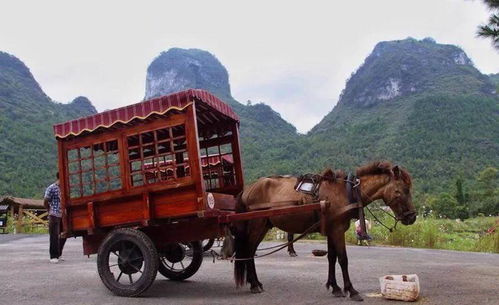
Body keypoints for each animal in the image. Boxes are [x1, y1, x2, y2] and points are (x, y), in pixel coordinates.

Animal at [234, 160, 418, 300]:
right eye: (402, 190)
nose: (412, 217)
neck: (347, 193)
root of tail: (247, 189)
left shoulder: (331, 230)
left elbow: (331, 258)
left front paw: (335, 287)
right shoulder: (337, 230)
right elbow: (343, 259)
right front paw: (351, 290)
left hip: (264, 225)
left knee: (250, 252)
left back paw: (254, 282)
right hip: (257, 224)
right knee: (249, 251)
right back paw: (255, 284)